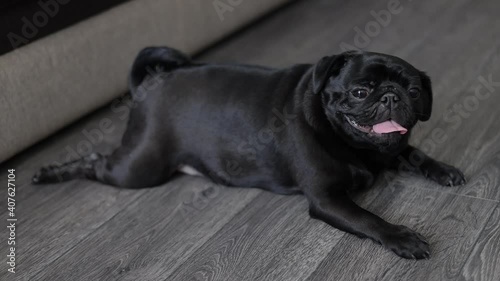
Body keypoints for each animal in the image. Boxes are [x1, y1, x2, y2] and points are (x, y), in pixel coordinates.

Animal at [34, 46, 464, 258]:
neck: (355, 145)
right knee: (97, 163)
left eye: (413, 91)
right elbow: (369, 218)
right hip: (140, 168)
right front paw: (402, 237)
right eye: (361, 91)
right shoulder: (328, 200)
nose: (391, 96)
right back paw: (50, 172)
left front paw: (442, 168)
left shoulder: (393, 149)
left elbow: (414, 153)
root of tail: (150, 83)